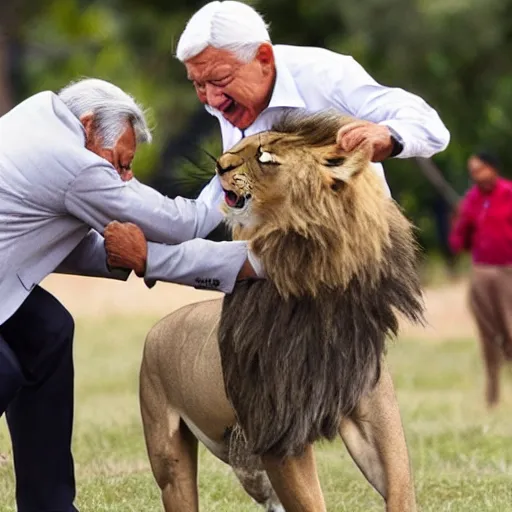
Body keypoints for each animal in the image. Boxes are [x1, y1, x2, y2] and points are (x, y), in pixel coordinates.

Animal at [138, 112, 422, 512]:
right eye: (242, 148)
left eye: (266, 157)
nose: (220, 165)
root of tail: (159, 328)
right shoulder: (277, 429)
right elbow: (310, 503)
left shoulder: (373, 416)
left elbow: (400, 488)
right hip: (170, 456)